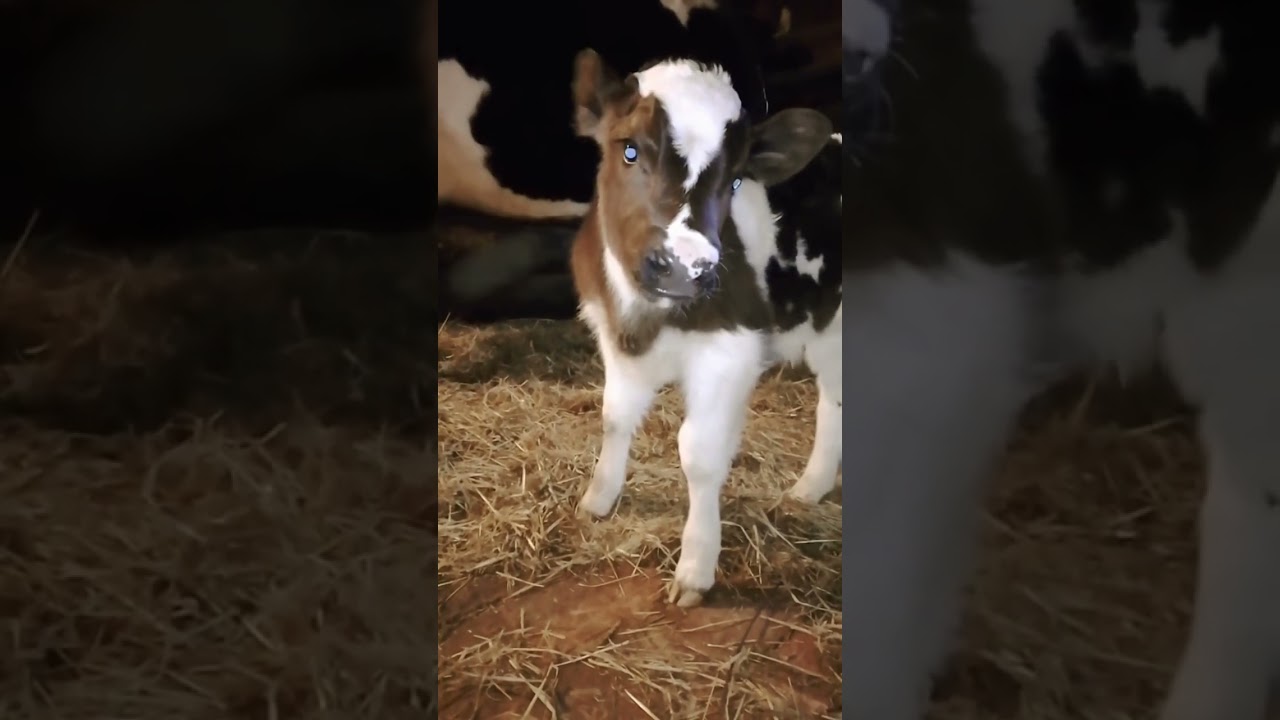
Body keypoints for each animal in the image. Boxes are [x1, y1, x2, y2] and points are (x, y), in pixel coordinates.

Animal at [566, 48, 841, 608]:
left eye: (735, 180)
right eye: (629, 150)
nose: (685, 267)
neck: (645, 320)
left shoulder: (728, 352)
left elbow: (698, 452)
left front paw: (695, 566)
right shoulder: (612, 337)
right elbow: (614, 418)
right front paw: (599, 498)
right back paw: (812, 486)